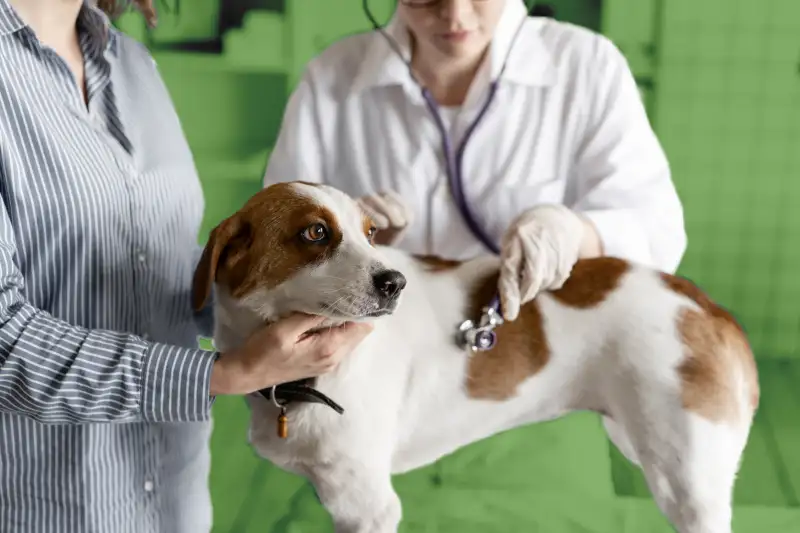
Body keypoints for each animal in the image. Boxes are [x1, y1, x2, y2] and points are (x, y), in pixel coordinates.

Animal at [192, 181, 756, 528]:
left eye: (371, 233)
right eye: (315, 232)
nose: (394, 282)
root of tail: (707, 306)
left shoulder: (366, 506)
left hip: (687, 483)